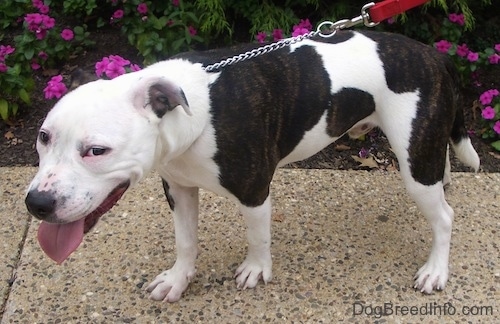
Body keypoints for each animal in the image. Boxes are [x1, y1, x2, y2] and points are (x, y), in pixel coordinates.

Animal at [24, 30, 480, 302]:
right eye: (43, 137)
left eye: (96, 151)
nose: (37, 204)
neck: (190, 114)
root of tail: (432, 54)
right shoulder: (179, 189)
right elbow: (185, 241)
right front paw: (178, 279)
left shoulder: (254, 189)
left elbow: (257, 235)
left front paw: (257, 270)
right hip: (424, 149)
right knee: (439, 168)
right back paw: (445, 181)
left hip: (413, 163)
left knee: (444, 217)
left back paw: (436, 270)